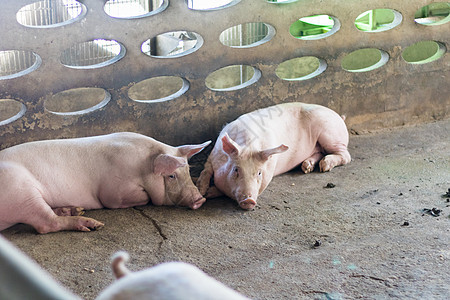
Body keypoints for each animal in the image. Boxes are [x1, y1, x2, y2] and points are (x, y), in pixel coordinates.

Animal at [0, 132, 211, 233]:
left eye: (188, 170)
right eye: (171, 176)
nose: (200, 199)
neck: (142, 167)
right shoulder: (113, 192)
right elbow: (121, 200)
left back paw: (75, 210)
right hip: (22, 192)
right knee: (45, 224)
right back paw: (92, 224)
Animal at [197, 102, 352, 210]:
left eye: (259, 173)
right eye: (236, 169)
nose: (249, 200)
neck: (249, 145)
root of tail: (339, 116)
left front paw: (208, 193)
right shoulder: (212, 156)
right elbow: (206, 170)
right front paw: (202, 190)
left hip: (330, 134)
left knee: (346, 155)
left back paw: (324, 166)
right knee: (320, 152)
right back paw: (307, 167)